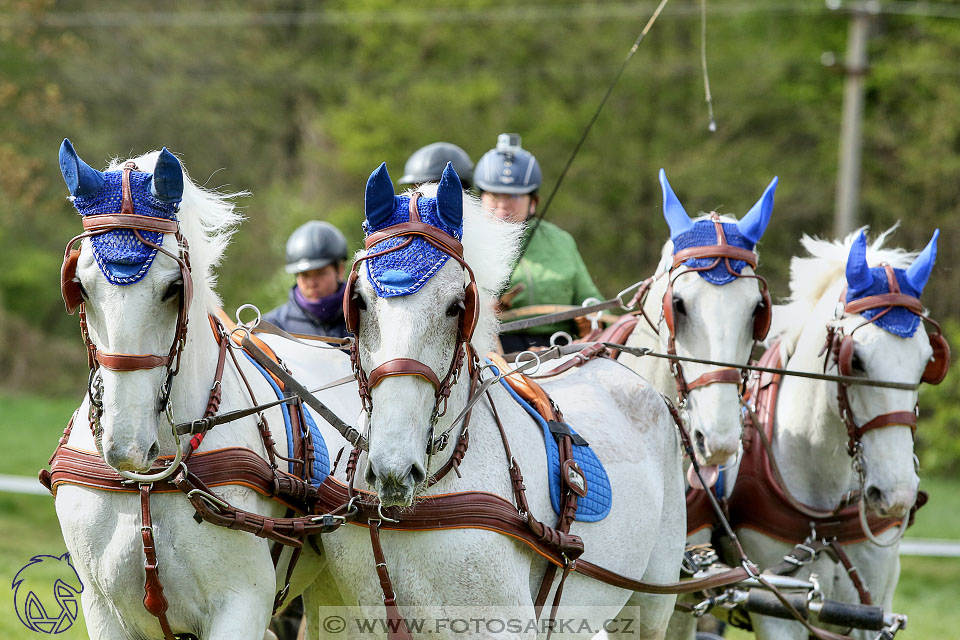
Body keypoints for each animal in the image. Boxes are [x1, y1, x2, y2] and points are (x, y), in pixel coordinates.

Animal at [47, 141, 360, 640]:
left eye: (173, 287)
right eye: (81, 286)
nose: (126, 446)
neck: (150, 483)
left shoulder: (241, 604)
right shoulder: (103, 609)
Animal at [732, 230, 940, 640]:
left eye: (927, 362)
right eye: (854, 360)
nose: (897, 496)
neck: (825, 522)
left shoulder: (870, 611)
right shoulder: (775, 607)